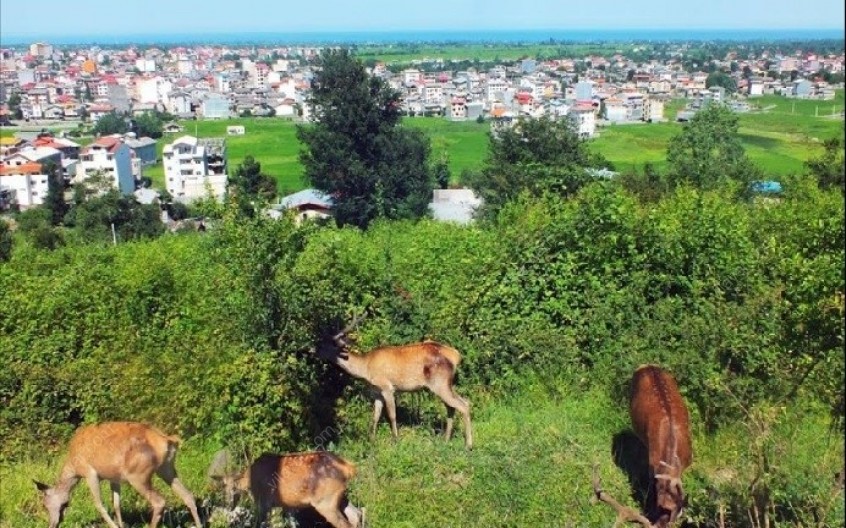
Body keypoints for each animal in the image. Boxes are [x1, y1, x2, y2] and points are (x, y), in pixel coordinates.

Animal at [33, 420, 204, 528]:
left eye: (45, 504)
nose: (52, 524)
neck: (73, 468)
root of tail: (169, 441)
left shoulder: (90, 473)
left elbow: (99, 504)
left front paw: (114, 525)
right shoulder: (114, 478)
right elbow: (116, 504)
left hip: (139, 475)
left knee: (159, 501)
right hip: (167, 469)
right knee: (188, 495)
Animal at [212, 450, 364, 528]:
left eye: (229, 488)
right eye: (223, 487)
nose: (228, 504)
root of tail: (349, 468)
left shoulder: (263, 503)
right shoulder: (287, 505)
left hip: (325, 502)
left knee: (346, 523)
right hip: (340, 497)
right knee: (356, 514)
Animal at [316, 314, 476, 450]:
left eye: (322, 345)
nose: (311, 351)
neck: (366, 369)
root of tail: (456, 356)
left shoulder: (387, 387)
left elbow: (392, 415)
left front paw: (395, 440)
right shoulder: (377, 392)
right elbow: (375, 416)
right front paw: (371, 440)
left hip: (439, 383)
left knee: (463, 404)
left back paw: (468, 445)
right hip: (445, 384)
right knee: (453, 406)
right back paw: (446, 440)